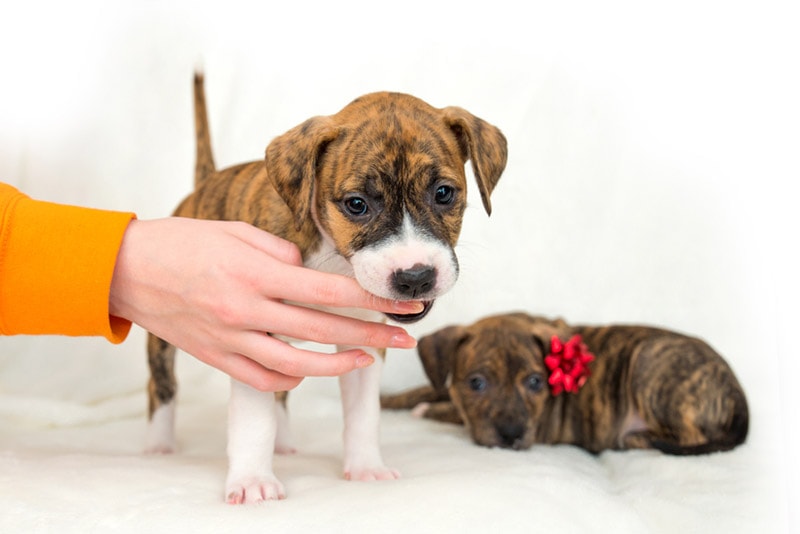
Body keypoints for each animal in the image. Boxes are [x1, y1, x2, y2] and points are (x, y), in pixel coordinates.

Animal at [144, 73, 506, 504]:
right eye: (356, 204)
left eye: (444, 193)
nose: (416, 277)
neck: (333, 257)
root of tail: (205, 185)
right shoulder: (252, 337)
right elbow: (254, 421)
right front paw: (252, 481)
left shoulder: (365, 345)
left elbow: (364, 414)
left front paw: (366, 468)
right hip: (165, 335)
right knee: (162, 384)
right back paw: (159, 445)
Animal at [382, 314, 752, 456]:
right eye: (476, 383)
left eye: (535, 382)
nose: (512, 435)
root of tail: (738, 393)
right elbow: (427, 389)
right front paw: (387, 398)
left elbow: (450, 410)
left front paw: (426, 409)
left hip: (649, 364)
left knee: (691, 436)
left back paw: (635, 438)